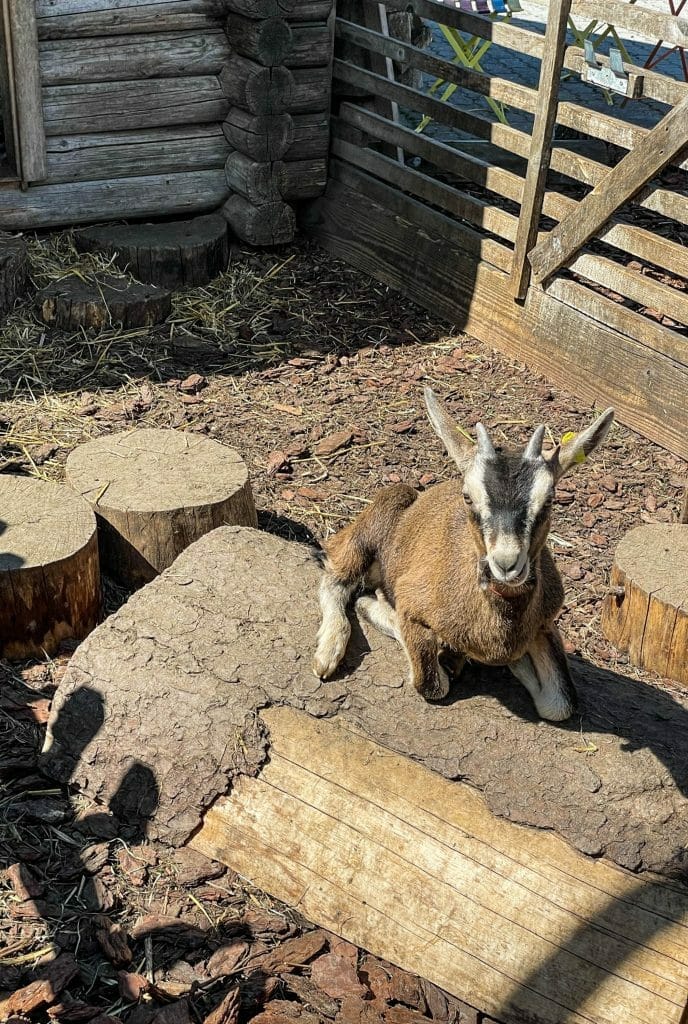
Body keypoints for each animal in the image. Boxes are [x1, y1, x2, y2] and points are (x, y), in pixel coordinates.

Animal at [312, 388, 615, 722]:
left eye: (549, 500)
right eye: (468, 497)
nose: (506, 564)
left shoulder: (546, 622)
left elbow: (560, 705)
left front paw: (514, 662)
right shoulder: (412, 604)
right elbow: (431, 684)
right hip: (383, 511)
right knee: (335, 578)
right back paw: (329, 652)